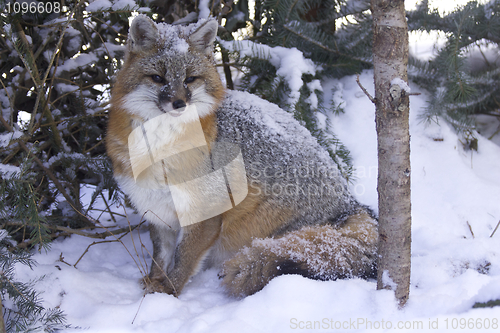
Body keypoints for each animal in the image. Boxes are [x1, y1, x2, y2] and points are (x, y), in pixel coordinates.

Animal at [106, 14, 378, 296]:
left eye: (190, 79)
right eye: (158, 78)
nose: (179, 104)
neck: (160, 150)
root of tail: (351, 205)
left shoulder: (205, 212)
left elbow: (183, 261)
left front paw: (167, 293)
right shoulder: (157, 210)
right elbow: (160, 257)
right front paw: (154, 282)